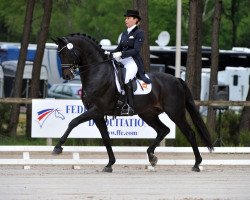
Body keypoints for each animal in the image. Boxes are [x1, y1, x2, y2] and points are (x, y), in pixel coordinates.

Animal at [52, 32, 213, 172]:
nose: (67, 76)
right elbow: (106, 138)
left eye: (66, 53)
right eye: (59, 54)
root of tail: (177, 79)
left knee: (189, 133)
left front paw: (58, 147)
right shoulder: (97, 114)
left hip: (175, 112)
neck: (98, 73)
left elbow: (73, 122)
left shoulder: (96, 110)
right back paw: (151, 157)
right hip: (148, 114)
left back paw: (196, 164)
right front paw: (110, 164)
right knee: (163, 130)